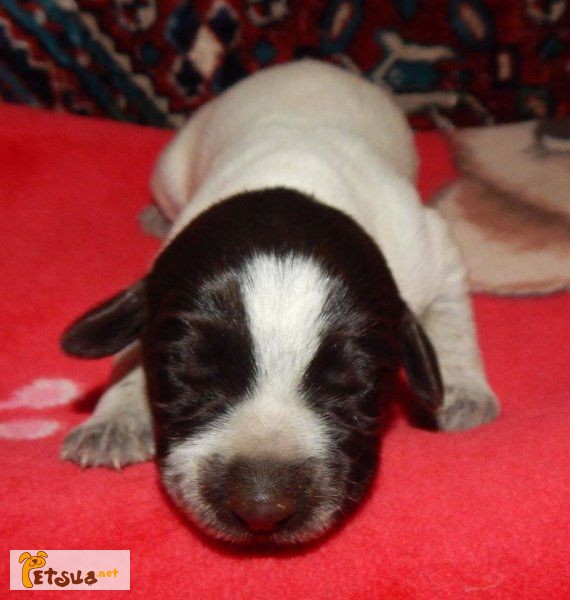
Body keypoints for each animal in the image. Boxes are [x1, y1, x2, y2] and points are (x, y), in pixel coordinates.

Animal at [61, 59, 496, 544]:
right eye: (185, 373)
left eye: (355, 385)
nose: (261, 510)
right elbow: (132, 345)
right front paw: (115, 415)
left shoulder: (432, 248)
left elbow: (452, 320)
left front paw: (462, 388)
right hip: (171, 170)